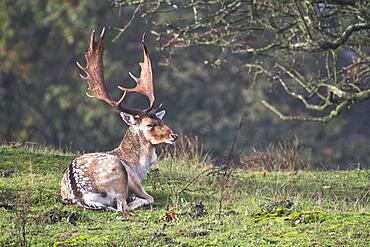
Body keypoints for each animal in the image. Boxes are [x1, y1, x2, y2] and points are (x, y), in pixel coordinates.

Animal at [60, 27, 178, 212]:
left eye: (162, 121)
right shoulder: (133, 179)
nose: (174, 136)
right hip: (119, 177)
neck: (137, 166)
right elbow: (149, 197)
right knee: (124, 207)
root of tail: (80, 193)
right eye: (149, 125)